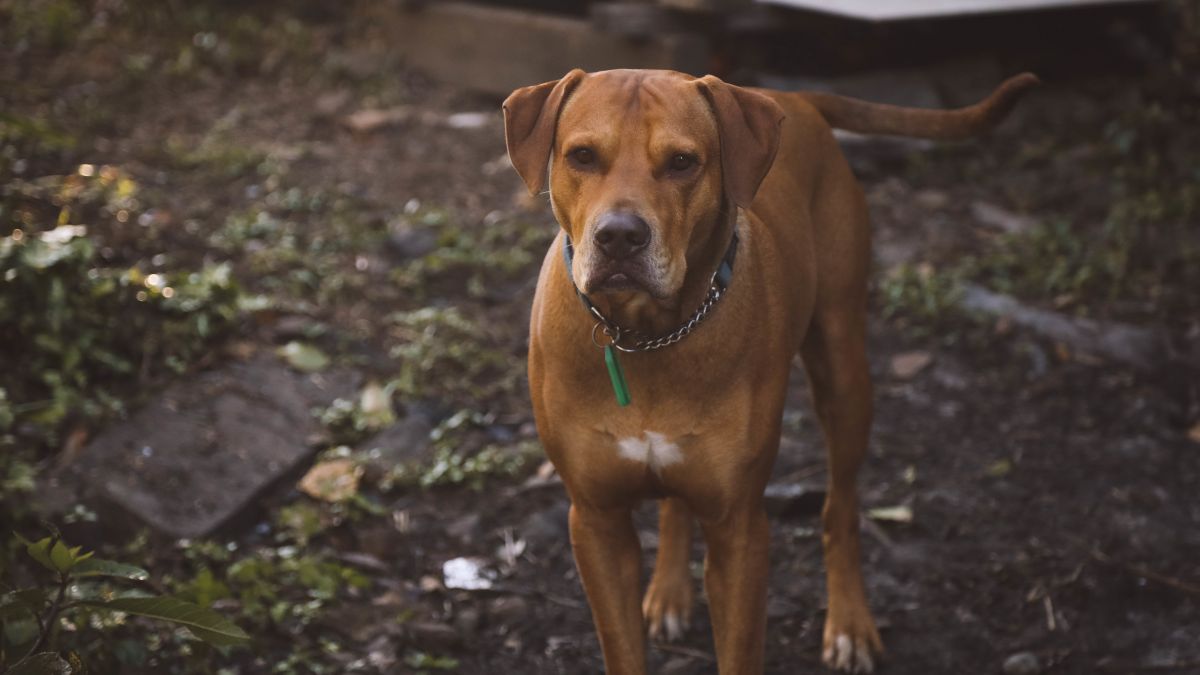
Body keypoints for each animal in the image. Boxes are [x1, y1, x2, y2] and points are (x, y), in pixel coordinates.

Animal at [501, 65, 1036, 667]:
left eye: (682, 162)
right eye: (583, 156)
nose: (619, 236)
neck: (648, 333)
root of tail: (793, 98)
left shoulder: (740, 530)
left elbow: (740, 648)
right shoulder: (596, 520)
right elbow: (623, 648)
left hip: (843, 367)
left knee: (840, 509)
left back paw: (849, 622)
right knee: (676, 505)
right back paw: (669, 592)